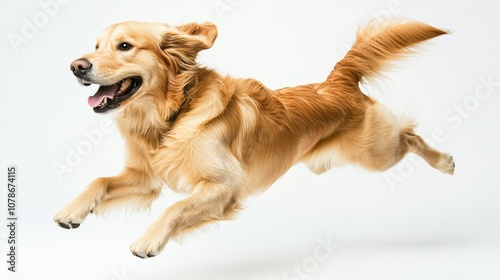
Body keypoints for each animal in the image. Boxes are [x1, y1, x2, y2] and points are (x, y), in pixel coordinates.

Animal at [54, 18, 454, 258]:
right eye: (96, 45)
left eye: (124, 46)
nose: (76, 66)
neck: (172, 115)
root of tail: (338, 81)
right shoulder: (146, 177)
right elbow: (100, 180)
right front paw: (73, 210)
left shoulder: (223, 186)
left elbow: (175, 208)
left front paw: (148, 239)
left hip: (377, 153)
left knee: (411, 135)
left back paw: (445, 161)